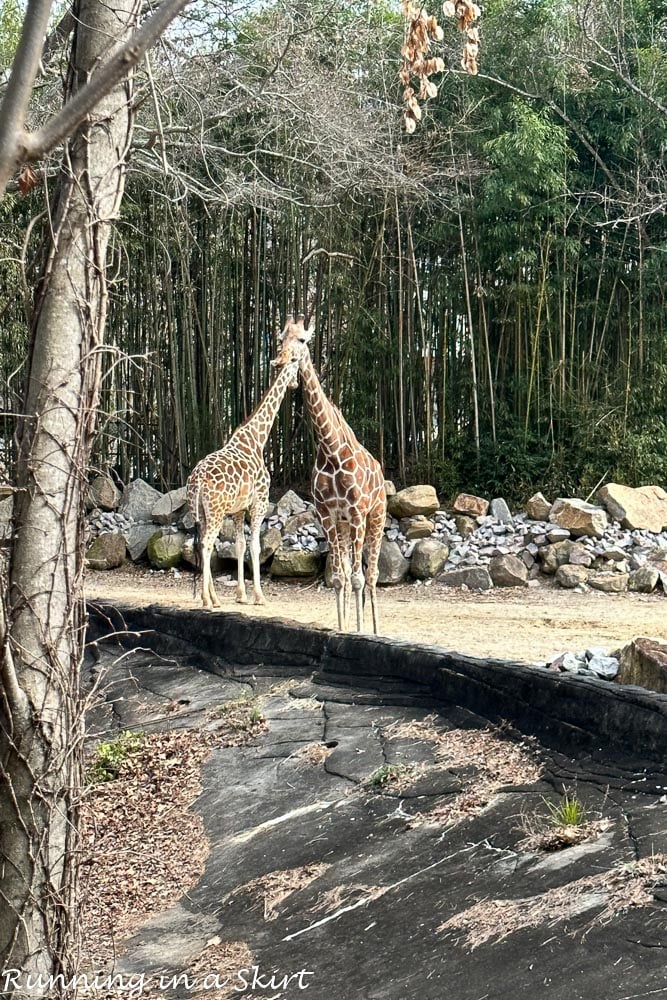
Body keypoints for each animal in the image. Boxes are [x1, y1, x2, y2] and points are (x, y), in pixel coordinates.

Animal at [188, 344, 302, 608]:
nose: (295, 385)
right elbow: (256, 546)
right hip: (216, 511)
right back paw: (208, 600)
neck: (256, 439)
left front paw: (241, 594)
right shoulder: (259, 502)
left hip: (198, 510)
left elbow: (239, 545)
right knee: (207, 544)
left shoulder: (239, 509)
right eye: (296, 365)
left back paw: (212, 597)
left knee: (201, 544)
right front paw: (259, 596)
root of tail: (197, 480)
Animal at [276, 312, 386, 632]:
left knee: (371, 575)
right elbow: (339, 578)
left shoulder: (358, 512)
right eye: (281, 338)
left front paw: (360, 631)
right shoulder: (327, 514)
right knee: (350, 573)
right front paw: (343, 628)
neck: (330, 449)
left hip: (376, 516)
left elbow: (359, 577)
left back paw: (376, 629)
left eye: (302, 340)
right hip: (345, 524)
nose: (281, 360)